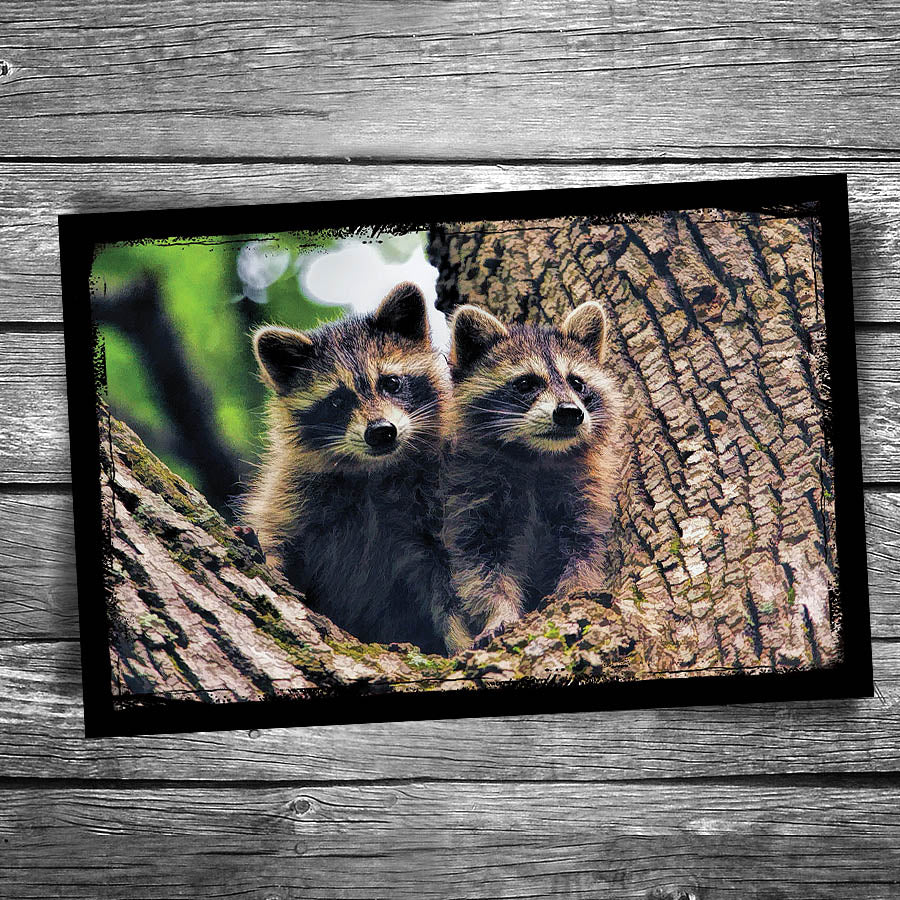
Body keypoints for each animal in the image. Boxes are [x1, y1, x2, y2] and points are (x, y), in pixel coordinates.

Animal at [241, 282, 461, 655]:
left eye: (391, 382)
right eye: (337, 401)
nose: (382, 431)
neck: (375, 473)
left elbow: (452, 575)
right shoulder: (293, 493)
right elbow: (278, 536)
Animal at [443, 301, 624, 647]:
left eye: (576, 382)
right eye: (526, 383)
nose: (569, 413)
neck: (537, 458)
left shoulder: (583, 493)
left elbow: (584, 550)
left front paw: (576, 590)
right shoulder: (470, 493)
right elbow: (481, 567)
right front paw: (498, 612)